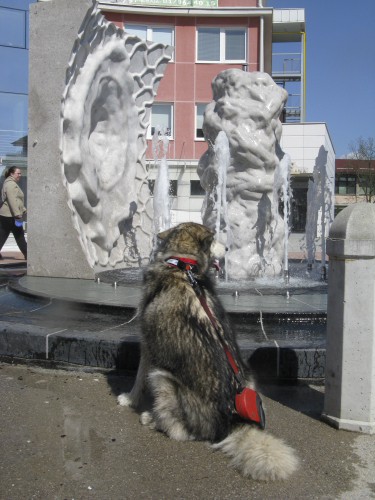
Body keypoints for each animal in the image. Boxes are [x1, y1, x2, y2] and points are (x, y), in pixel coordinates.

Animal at [118, 223, 300, 480]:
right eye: (214, 239)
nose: (227, 248)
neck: (182, 264)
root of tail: (230, 421)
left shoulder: (147, 344)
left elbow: (138, 378)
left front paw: (129, 399)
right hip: (248, 376)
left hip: (163, 378)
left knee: (180, 431)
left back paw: (151, 418)